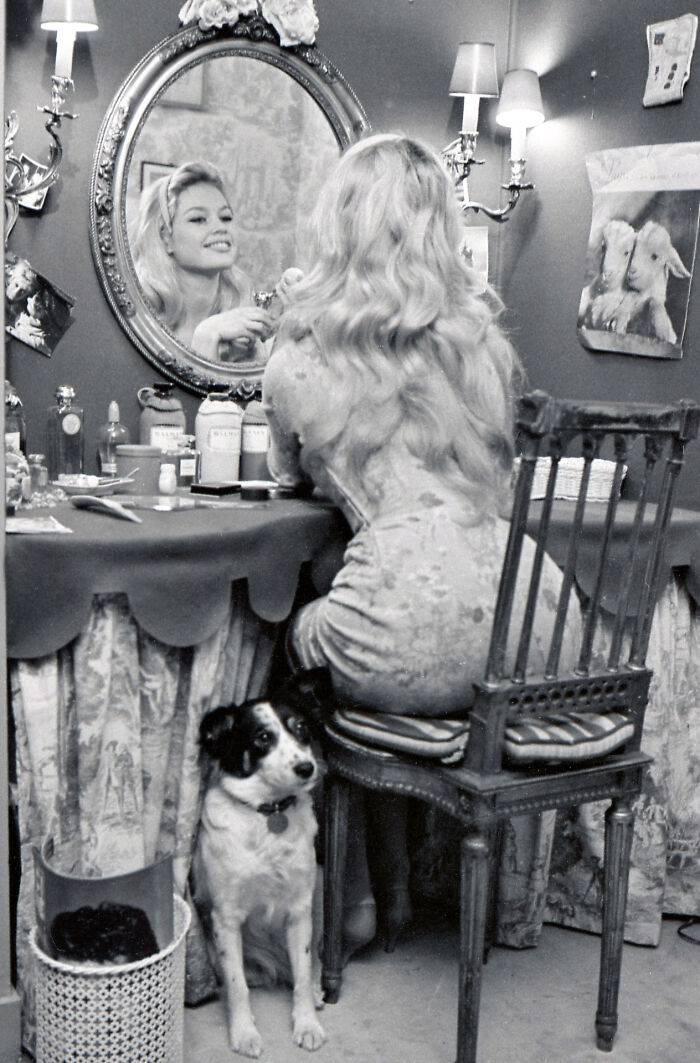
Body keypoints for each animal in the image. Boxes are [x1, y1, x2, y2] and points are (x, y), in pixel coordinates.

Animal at [193, 697, 327, 1054]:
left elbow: (302, 976)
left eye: (302, 729)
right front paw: (244, 1033)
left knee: (306, 966)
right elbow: (237, 986)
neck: (269, 814)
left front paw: (307, 1024)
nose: (307, 768)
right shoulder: (225, 918)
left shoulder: (300, 910)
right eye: (262, 738)